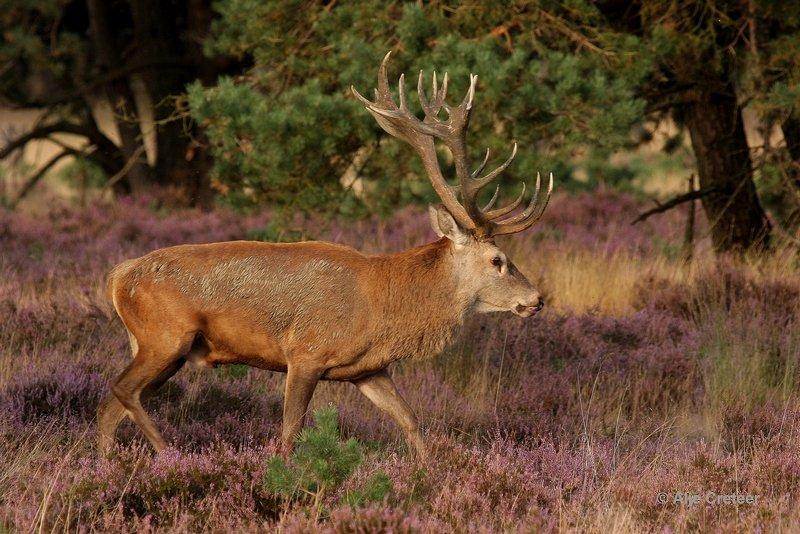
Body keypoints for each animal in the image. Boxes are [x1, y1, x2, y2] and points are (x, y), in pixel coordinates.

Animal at [97, 55, 552, 464]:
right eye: (497, 260)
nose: (536, 300)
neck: (382, 305)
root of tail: (118, 277)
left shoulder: (368, 369)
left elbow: (409, 420)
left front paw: (429, 472)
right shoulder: (305, 352)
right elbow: (289, 433)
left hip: (160, 347)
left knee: (109, 407)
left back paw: (107, 463)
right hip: (165, 336)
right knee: (121, 389)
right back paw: (168, 452)